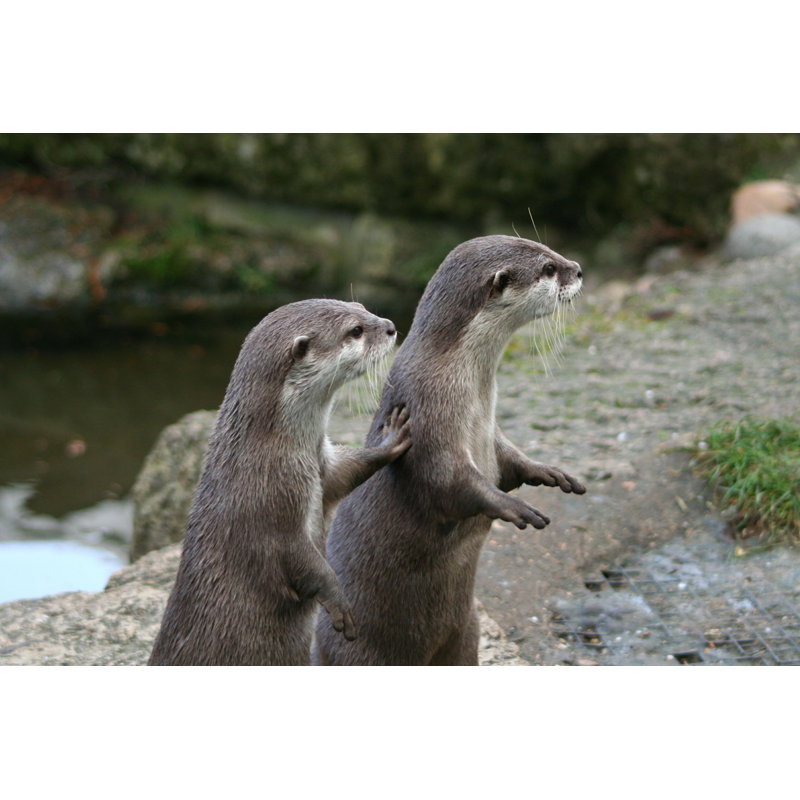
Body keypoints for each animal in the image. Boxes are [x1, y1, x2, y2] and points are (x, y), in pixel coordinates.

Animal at [149, 299, 411, 666]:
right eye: (356, 330)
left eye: (360, 305)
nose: (390, 326)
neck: (267, 454)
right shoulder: (267, 510)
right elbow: (302, 563)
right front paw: (340, 604)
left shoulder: (322, 464)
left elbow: (347, 471)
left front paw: (390, 438)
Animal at [314, 235, 585, 665]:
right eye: (547, 268)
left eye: (549, 250)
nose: (578, 269)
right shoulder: (427, 419)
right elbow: (449, 482)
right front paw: (514, 507)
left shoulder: (491, 435)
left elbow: (511, 462)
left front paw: (547, 471)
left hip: (465, 632)